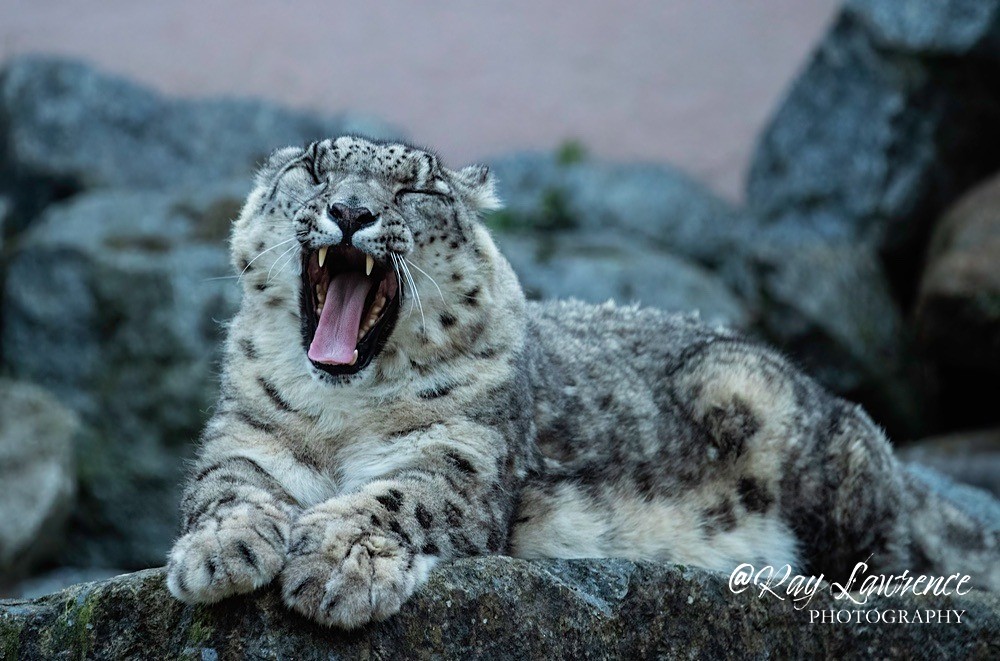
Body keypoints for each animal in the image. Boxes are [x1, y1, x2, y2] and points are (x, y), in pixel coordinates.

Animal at [166, 135, 999, 629]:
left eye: (416, 191)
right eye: (313, 168)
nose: (349, 209)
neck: (343, 414)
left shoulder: (460, 457)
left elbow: (397, 496)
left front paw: (336, 566)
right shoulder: (245, 438)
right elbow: (229, 489)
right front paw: (218, 553)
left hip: (789, 428)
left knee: (893, 556)